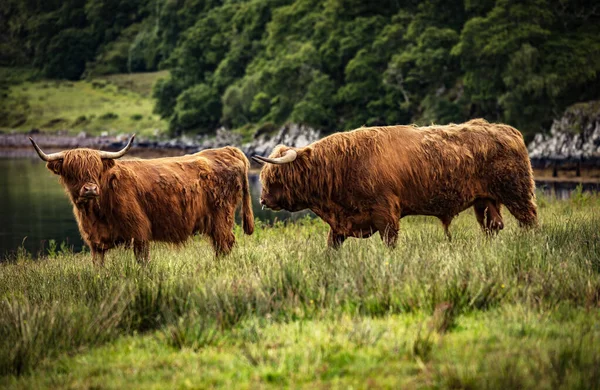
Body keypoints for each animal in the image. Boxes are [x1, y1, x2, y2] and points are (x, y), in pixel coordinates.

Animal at [30, 136, 253, 264]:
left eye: (96, 169)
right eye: (71, 171)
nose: (90, 189)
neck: (96, 212)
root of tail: (228, 150)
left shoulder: (139, 232)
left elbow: (142, 262)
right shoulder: (96, 241)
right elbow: (98, 266)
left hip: (221, 216)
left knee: (224, 243)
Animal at [253, 119, 540, 248]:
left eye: (275, 178)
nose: (262, 199)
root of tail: (507, 129)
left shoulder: (385, 212)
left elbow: (390, 242)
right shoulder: (341, 223)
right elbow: (331, 246)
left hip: (517, 192)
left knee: (529, 219)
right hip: (484, 200)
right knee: (493, 225)